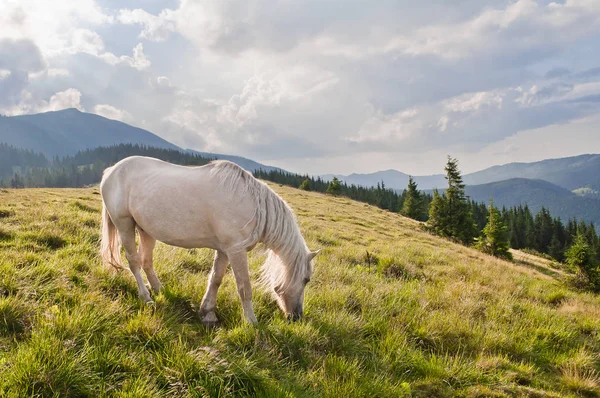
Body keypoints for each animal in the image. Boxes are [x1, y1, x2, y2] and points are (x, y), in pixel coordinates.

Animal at [99, 155, 318, 324]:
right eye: (306, 280)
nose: (296, 317)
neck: (253, 205)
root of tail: (111, 170)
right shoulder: (236, 251)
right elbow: (244, 287)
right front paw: (251, 322)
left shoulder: (224, 250)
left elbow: (216, 279)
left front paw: (208, 313)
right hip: (124, 225)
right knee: (134, 262)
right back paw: (146, 297)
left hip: (146, 231)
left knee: (147, 261)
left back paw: (160, 289)